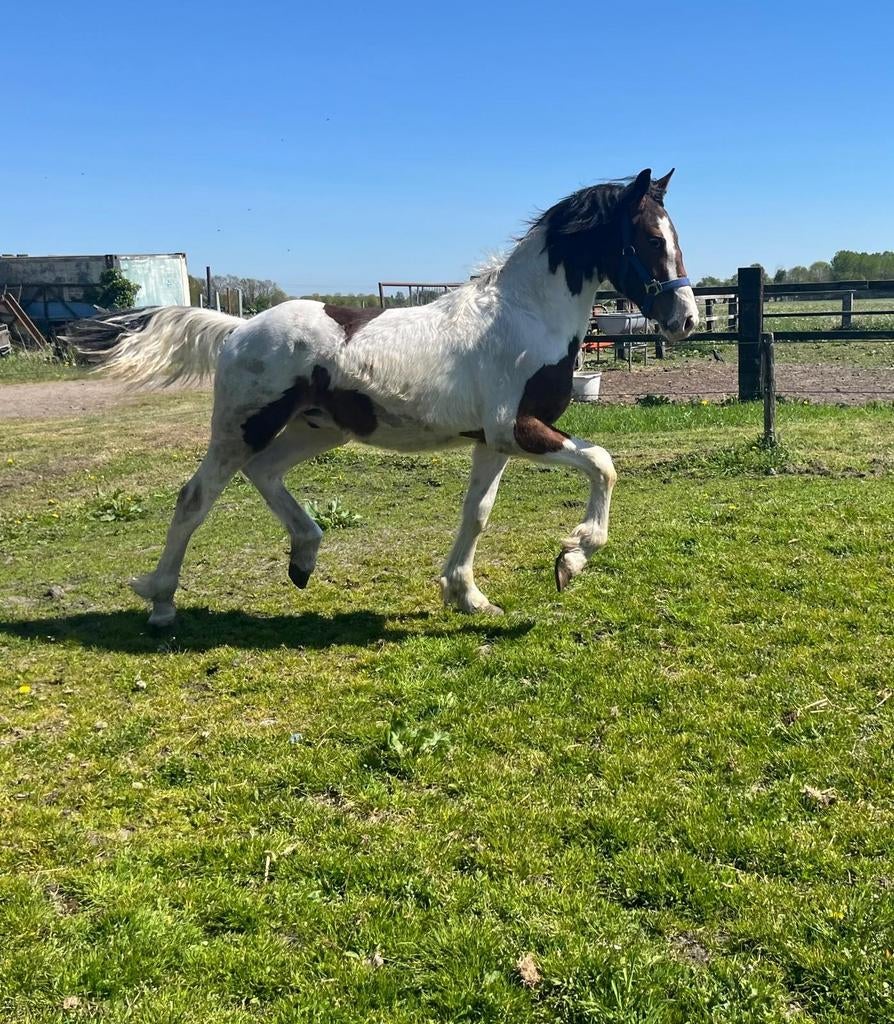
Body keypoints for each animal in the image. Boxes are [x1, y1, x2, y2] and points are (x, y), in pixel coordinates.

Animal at [86, 167, 698, 626]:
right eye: (650, 239)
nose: (686, 319)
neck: (524, 318)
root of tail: (238, 328)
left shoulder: (492, 442)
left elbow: (477, 513)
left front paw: (467, 595)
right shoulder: (517, 429)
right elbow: (604, 463)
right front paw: (572, 558)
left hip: (317, 428)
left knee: (265, 472)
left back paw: (304, 556)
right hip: (242, 428)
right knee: (195, 498)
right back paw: (161, 602)